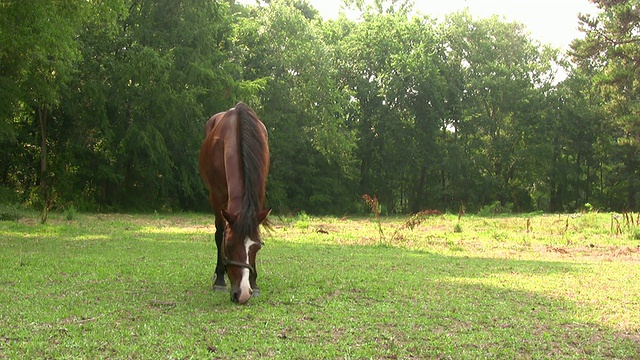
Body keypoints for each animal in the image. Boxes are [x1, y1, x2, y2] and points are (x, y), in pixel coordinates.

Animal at [200, 102, 270, 304]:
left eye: (257, 246)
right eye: (229, 245)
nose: (243, 293)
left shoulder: (258, 192)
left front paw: (254, 283)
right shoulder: (217, 196)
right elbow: (219, 233)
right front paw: (220, 280)